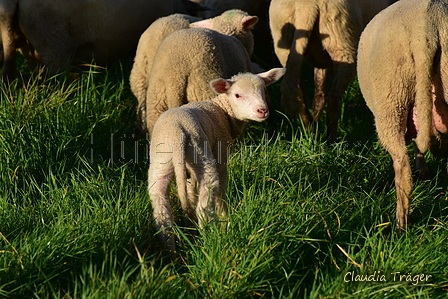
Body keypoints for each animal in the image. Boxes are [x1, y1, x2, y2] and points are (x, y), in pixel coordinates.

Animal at [149, 68, 286, 253]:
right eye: (237, 95)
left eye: (264, 90)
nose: (262, 110)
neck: (223, 110)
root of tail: (176, 133)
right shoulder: (221, 156)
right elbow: (221, 193)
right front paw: (226, 221)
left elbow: (191, 190)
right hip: (200, 151)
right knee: (204, 205)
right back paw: (208, 238)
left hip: (161, 160)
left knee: (161, 208)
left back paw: (171, 251)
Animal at [268, 0, 394, 142]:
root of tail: (306, 6)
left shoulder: (321, 62)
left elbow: (319, 94)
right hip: (341, 41)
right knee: (334, 98)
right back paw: (331, 140)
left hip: (284, 46)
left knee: (301, 93)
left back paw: (312, 132)